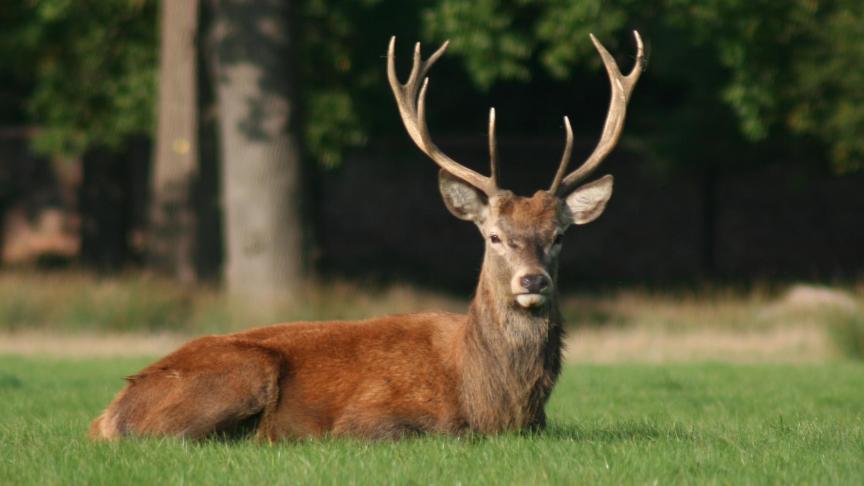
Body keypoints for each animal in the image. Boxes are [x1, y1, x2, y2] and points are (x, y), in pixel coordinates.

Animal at [89, 31, 643, 441]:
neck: (493, 401)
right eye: (493, 236)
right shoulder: (370, 418)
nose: (532, 281)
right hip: (242, 372)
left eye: (559, 235)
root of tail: (107, 414)